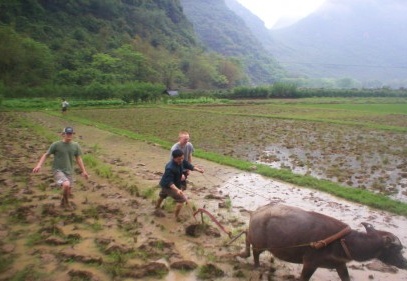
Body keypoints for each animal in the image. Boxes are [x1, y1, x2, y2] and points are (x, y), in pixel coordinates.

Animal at [241, 203, 406, 280]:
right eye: (397, 249)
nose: (404, 263)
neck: (344, 242)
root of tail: (256, 212)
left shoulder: (340, 264)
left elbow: (345, 277)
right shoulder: (310, 262)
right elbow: (304, 278)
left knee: (248, 236)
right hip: (260, 243)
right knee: (252, 246)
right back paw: (253, 263)